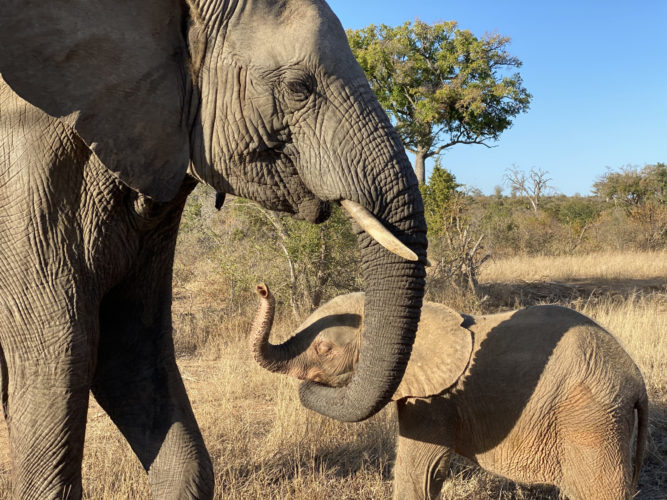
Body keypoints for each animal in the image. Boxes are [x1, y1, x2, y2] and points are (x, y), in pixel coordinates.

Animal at [251, 284, 648, 500]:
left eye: (324, 349)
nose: (262, 288)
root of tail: (636, 380)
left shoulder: (433, 403)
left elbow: (419, 471)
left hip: (591, 417)